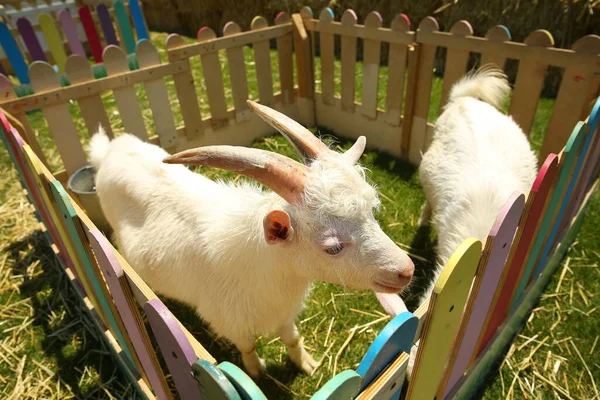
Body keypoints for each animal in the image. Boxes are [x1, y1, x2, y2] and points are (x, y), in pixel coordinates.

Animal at [89, 99, 414, 378]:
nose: (407, 270)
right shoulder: (229, 321)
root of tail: (109, 150)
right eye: (332, 247)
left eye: (372, 212)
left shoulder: (285, 311)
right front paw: (256, 372)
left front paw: (306, 363)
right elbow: (248, 346)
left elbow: (292, 338)